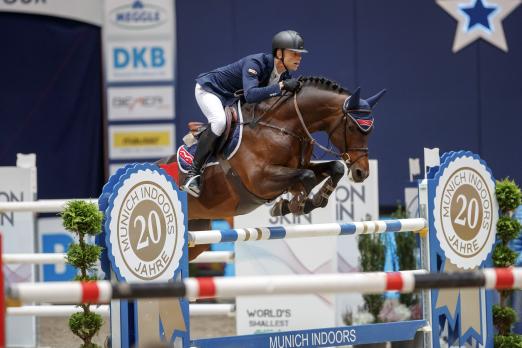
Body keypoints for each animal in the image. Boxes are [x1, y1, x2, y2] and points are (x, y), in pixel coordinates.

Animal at [156, 77, 384, 260]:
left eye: (371, 130)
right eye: (353, 127)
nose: (361, 173)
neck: (283, 126)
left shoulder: (295, 168)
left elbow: (333, 168)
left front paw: (306, 201)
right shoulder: (260, 180)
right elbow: (307, 176)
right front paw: (295, 205)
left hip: (198, 235)